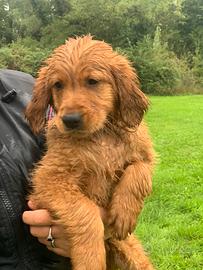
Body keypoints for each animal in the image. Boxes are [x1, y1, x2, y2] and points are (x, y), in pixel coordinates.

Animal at [25, 34, 155, 268]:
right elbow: (85, 211)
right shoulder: (49, 178)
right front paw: (90, 258)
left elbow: (138, 171)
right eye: (58, 85)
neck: (101, 136)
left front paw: (124, 213)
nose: (70, 120)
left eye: (92, 81)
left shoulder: (146, 156)